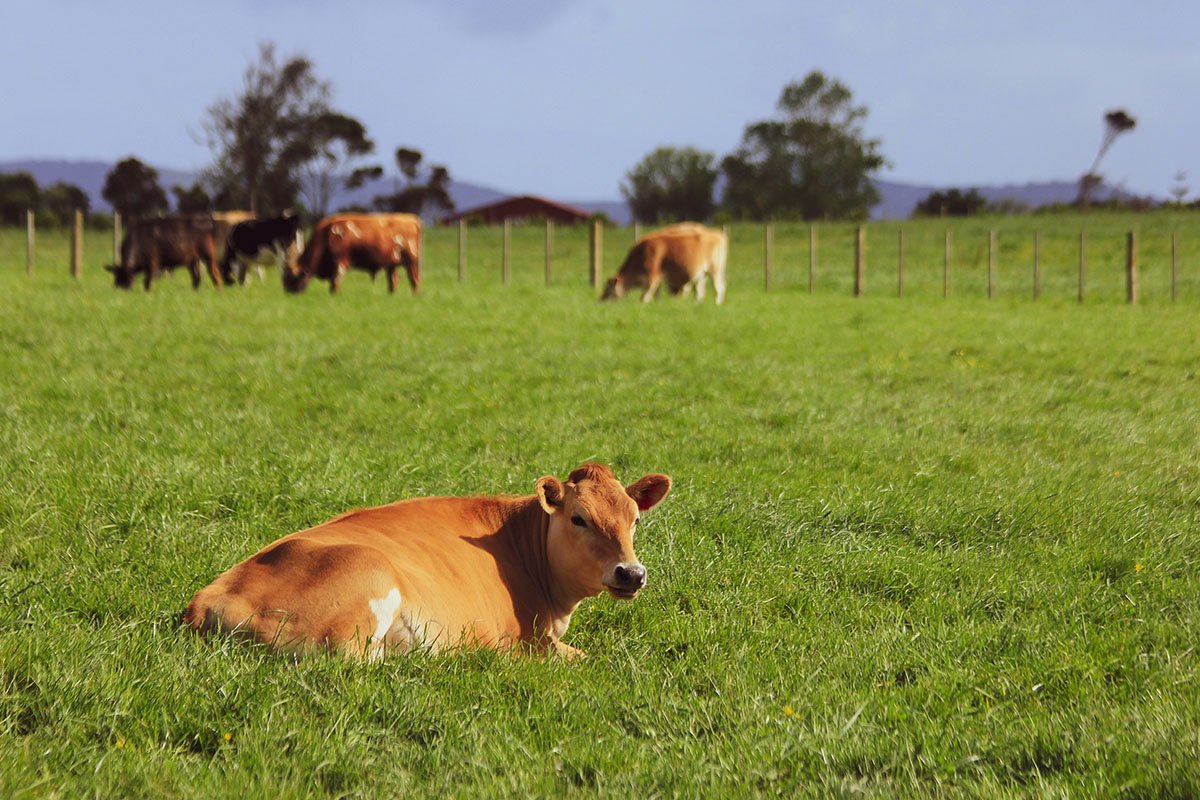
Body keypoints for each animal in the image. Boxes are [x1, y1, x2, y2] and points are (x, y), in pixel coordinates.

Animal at [282, 212, 421, 295]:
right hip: (391, 264)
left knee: (414, 280)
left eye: (291, 278)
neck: (326, 233)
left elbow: (335, 283)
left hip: (412, 262)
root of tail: (411, 218)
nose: (288, 294)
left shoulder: (340, 262)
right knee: (393, 282)